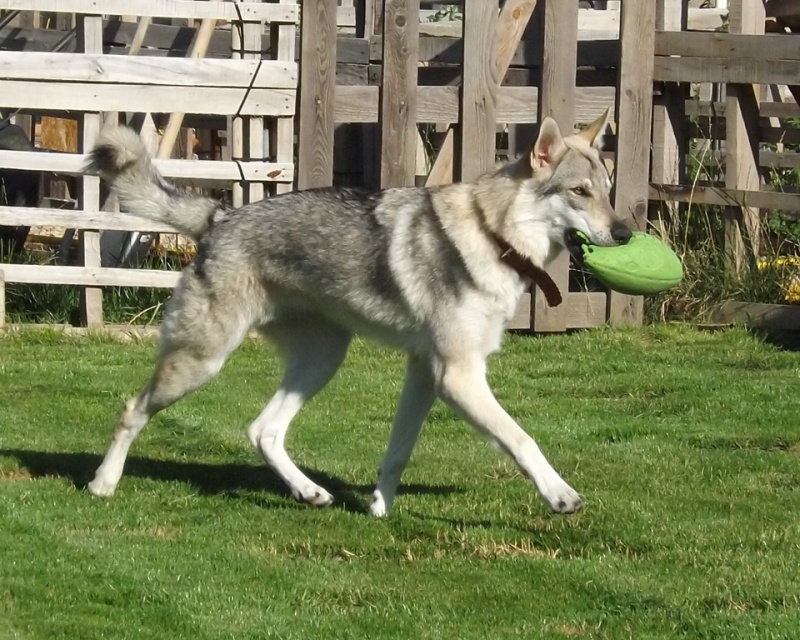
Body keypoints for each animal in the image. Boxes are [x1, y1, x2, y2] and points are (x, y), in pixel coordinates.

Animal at [83, 110, 632, 516]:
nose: (626, 233)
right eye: (579, 192)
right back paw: (103, 483)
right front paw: (560, 495)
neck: (492, 234)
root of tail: (220, 217)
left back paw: (308, 492)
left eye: (608, 189)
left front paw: (379, 509)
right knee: (133, 409)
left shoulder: (426, 373)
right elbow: (522, 439)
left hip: (323, 360)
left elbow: (398, 451)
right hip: (202, 362)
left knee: (263, 431)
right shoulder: (458, 376)